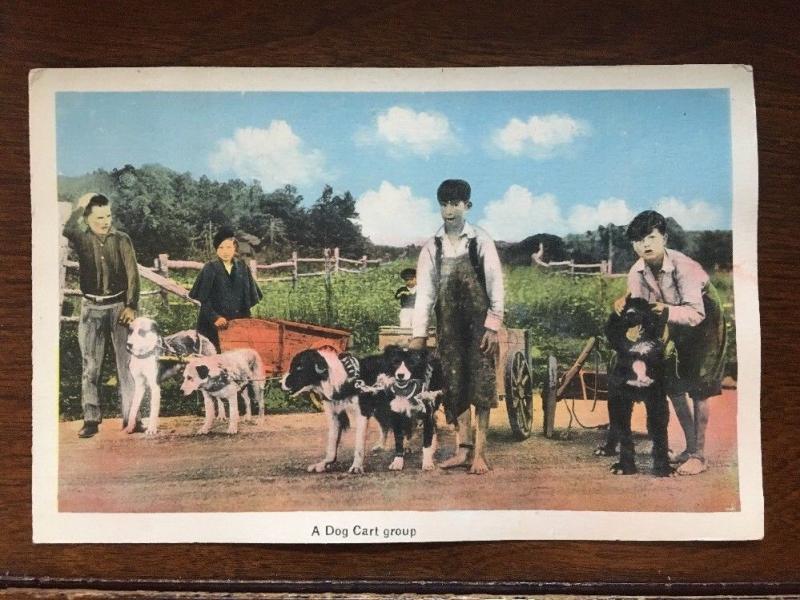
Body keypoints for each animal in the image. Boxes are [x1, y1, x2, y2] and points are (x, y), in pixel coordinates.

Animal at [604, 298, 672, 476]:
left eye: (643, 308)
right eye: (625, 308)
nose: (630, 314)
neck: (638, 353)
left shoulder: (658, 400)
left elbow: (660, 434)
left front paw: (663, 467)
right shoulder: (621, 400)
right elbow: (625, 435)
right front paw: (624, 466)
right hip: (612, 398)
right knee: (613, 426)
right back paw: (606, 449)